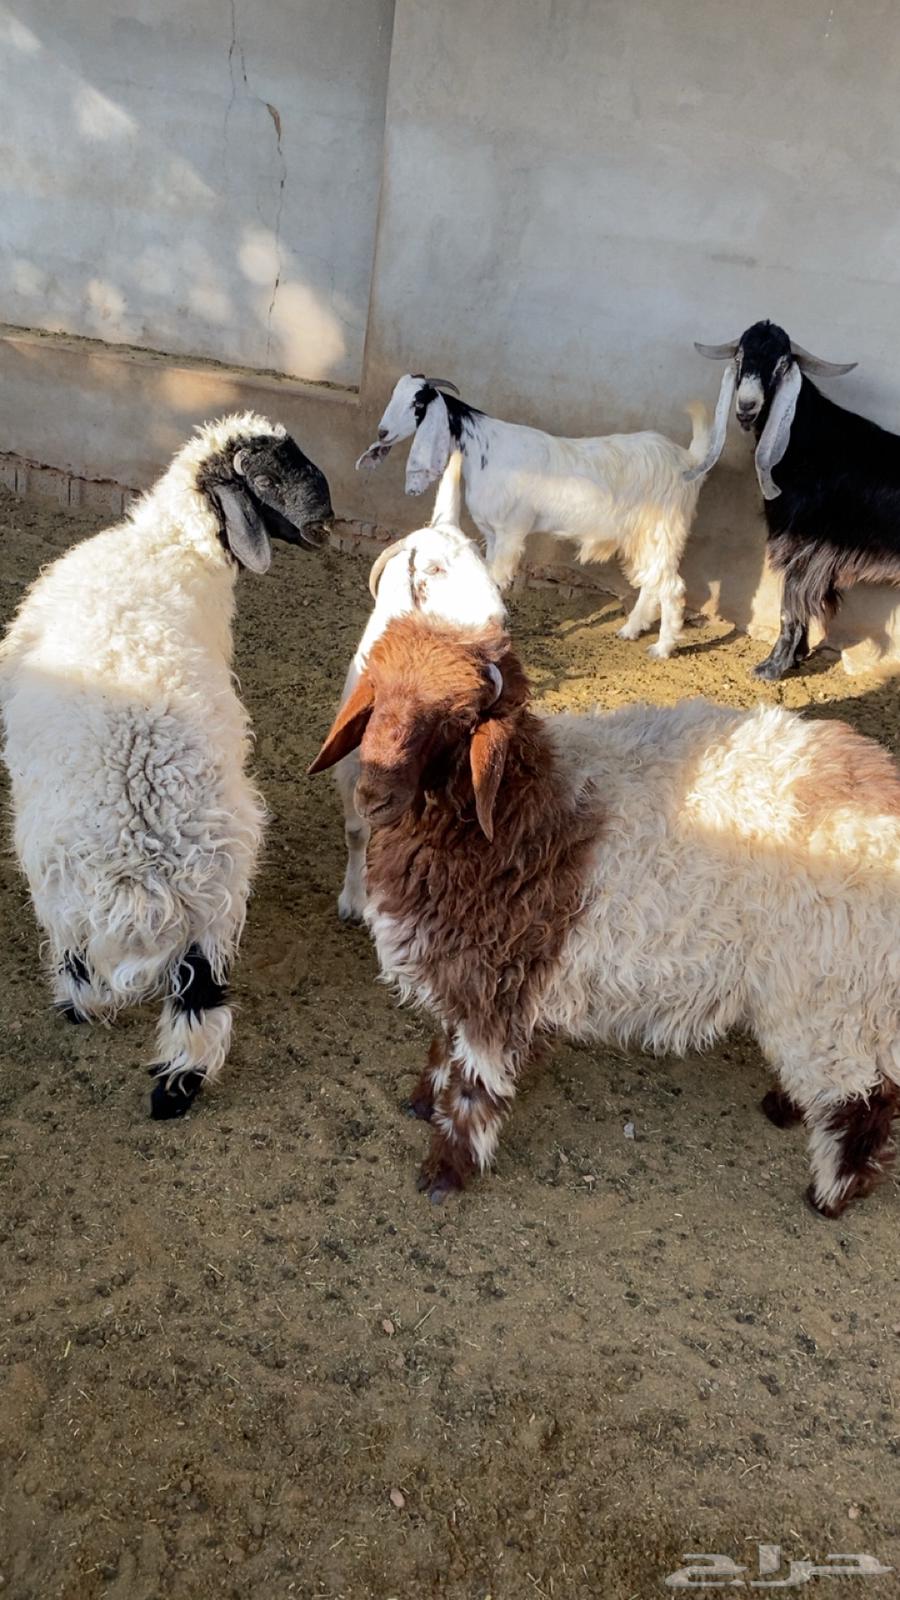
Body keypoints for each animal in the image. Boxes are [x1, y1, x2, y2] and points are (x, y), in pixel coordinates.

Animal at [0, 412, 333, 1118]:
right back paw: (175, 1089)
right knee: (199, 1008)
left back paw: (90, 1020)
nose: (326, 523)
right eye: (268, 477)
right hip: (214, 900)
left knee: (103, 976)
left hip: (77, 892)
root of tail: (148, 867)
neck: (164, 548)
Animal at [309, 608, 900, 1217]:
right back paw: (786, 1110)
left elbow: (476, 1085)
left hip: (831, 991)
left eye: (458, 721)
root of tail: (884, 792)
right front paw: (423, 1102)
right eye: (375, 695)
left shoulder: (497, 982)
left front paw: (446, 1170)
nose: (372, 796)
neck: (518, 808)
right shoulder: (459, 971)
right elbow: (444, 1044)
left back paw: (831, 1192)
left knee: (866, 1097)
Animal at [332, 450, 505, 922]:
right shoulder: (351, 764)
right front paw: (353, 899)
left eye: (484, 564)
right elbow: (356, 831)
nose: (498, 622)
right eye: (434, 569)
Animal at [356, 372, 712, 658]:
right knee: (652, 581)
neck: (484, 448)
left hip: (662, 529)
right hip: (642, 536)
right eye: (395, 394)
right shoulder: (492, 533)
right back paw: (630, 630)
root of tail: (687, 460)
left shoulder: (510, 531)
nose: (382, 432)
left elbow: (497, 580)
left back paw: (662, 648)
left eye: (417, 403)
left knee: (672, 587)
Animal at [686, 319, 892, 681]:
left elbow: (790, 605)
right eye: (739, 357)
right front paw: (795, 657)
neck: (807, 443)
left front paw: (770, 667)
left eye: (781, 365)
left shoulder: (806, 547)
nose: (747, 407)